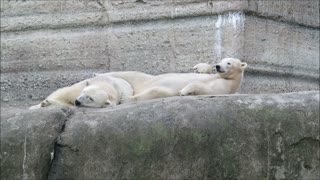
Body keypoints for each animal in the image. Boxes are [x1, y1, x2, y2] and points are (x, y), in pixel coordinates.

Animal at [97, 57, 248, 101]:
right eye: (221, 60)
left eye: (229, 63)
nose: (217, 66)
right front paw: (199, 67)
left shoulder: (225, 86)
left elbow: (205, 88)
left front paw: (183, 91)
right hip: (144, 79)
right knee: (131, 74)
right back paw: (98, 74)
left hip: (161, 90)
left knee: (154, 91)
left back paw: (128, 98)